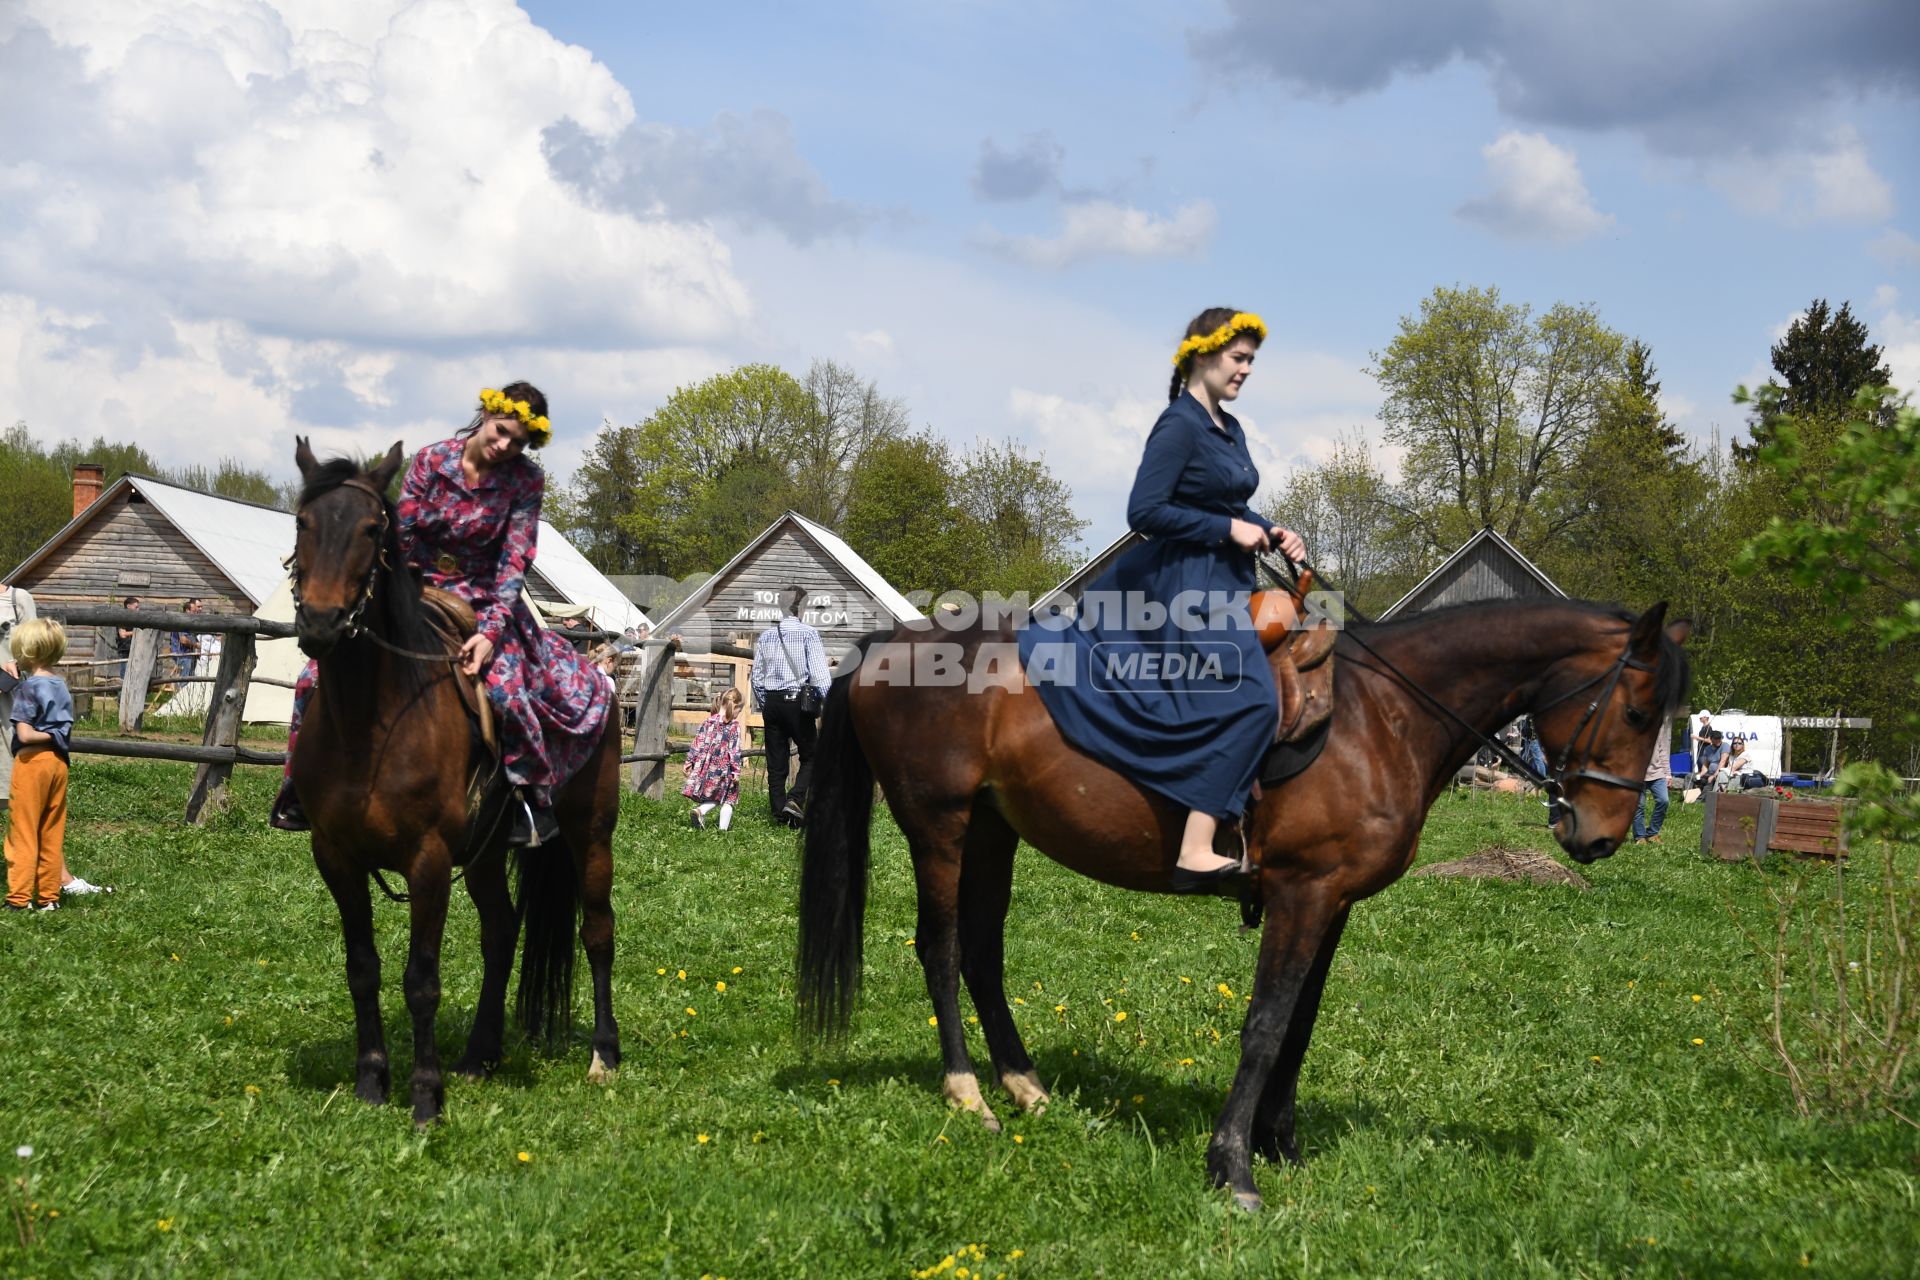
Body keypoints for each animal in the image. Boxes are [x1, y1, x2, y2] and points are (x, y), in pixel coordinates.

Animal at [291, 445, 622, 1128]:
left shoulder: (429, 861)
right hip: (489, 854)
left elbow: (421, 980)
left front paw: (425, 1096)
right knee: (502, 932)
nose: (321, 623)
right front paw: (371, 1081)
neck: (371, 723)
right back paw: (479, 1054)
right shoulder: (335, 857)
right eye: (303, 523)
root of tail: (598, 673)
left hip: (591, 836)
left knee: (597, 932)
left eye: (372, 529)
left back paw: (604, 1054)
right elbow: (362, 970)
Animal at [791, 594, 1681, 1205]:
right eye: (1639, 710)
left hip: (991, 832)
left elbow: (1301, 1026)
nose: (1600, 837)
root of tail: (887, 646)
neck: (1380, 718)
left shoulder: (1332, 902)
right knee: (940, 948)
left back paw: (1026, 1086)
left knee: (981, 952)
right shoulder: (1302, 893)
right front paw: (1233, 1164)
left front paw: (1281, 1146)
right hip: (938, 829)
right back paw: (968, 1092)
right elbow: (1265, 1024)